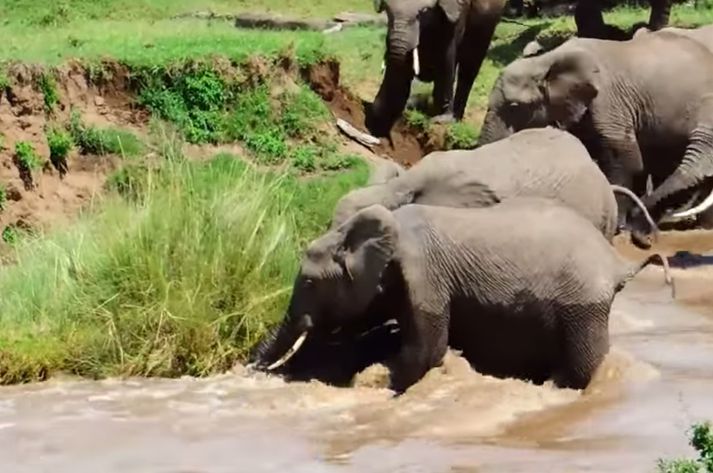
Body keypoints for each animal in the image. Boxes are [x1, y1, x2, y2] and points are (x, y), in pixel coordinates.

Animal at [249, 197, 668, 392]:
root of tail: (614, 261)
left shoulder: (426, 276)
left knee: (585, 365)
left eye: (308, 283)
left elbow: (427, 350)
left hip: (582, 305)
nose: (250, 366)